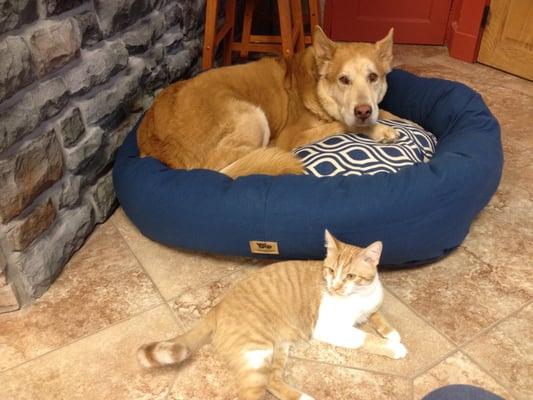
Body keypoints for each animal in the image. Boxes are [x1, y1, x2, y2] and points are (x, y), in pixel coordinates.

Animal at [136, 231, 404, 400]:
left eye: (350, 276)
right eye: (330, 271)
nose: (335, 286)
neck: (359, 297)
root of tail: (218, 306)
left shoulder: (370, 307)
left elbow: (377, 316)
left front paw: (392, 333)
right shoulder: (329, 328)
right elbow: (365, 338)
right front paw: (394, 347)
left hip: (278, 348)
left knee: (272, 381)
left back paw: (303, 398)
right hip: (256, 352)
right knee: (251, 393)